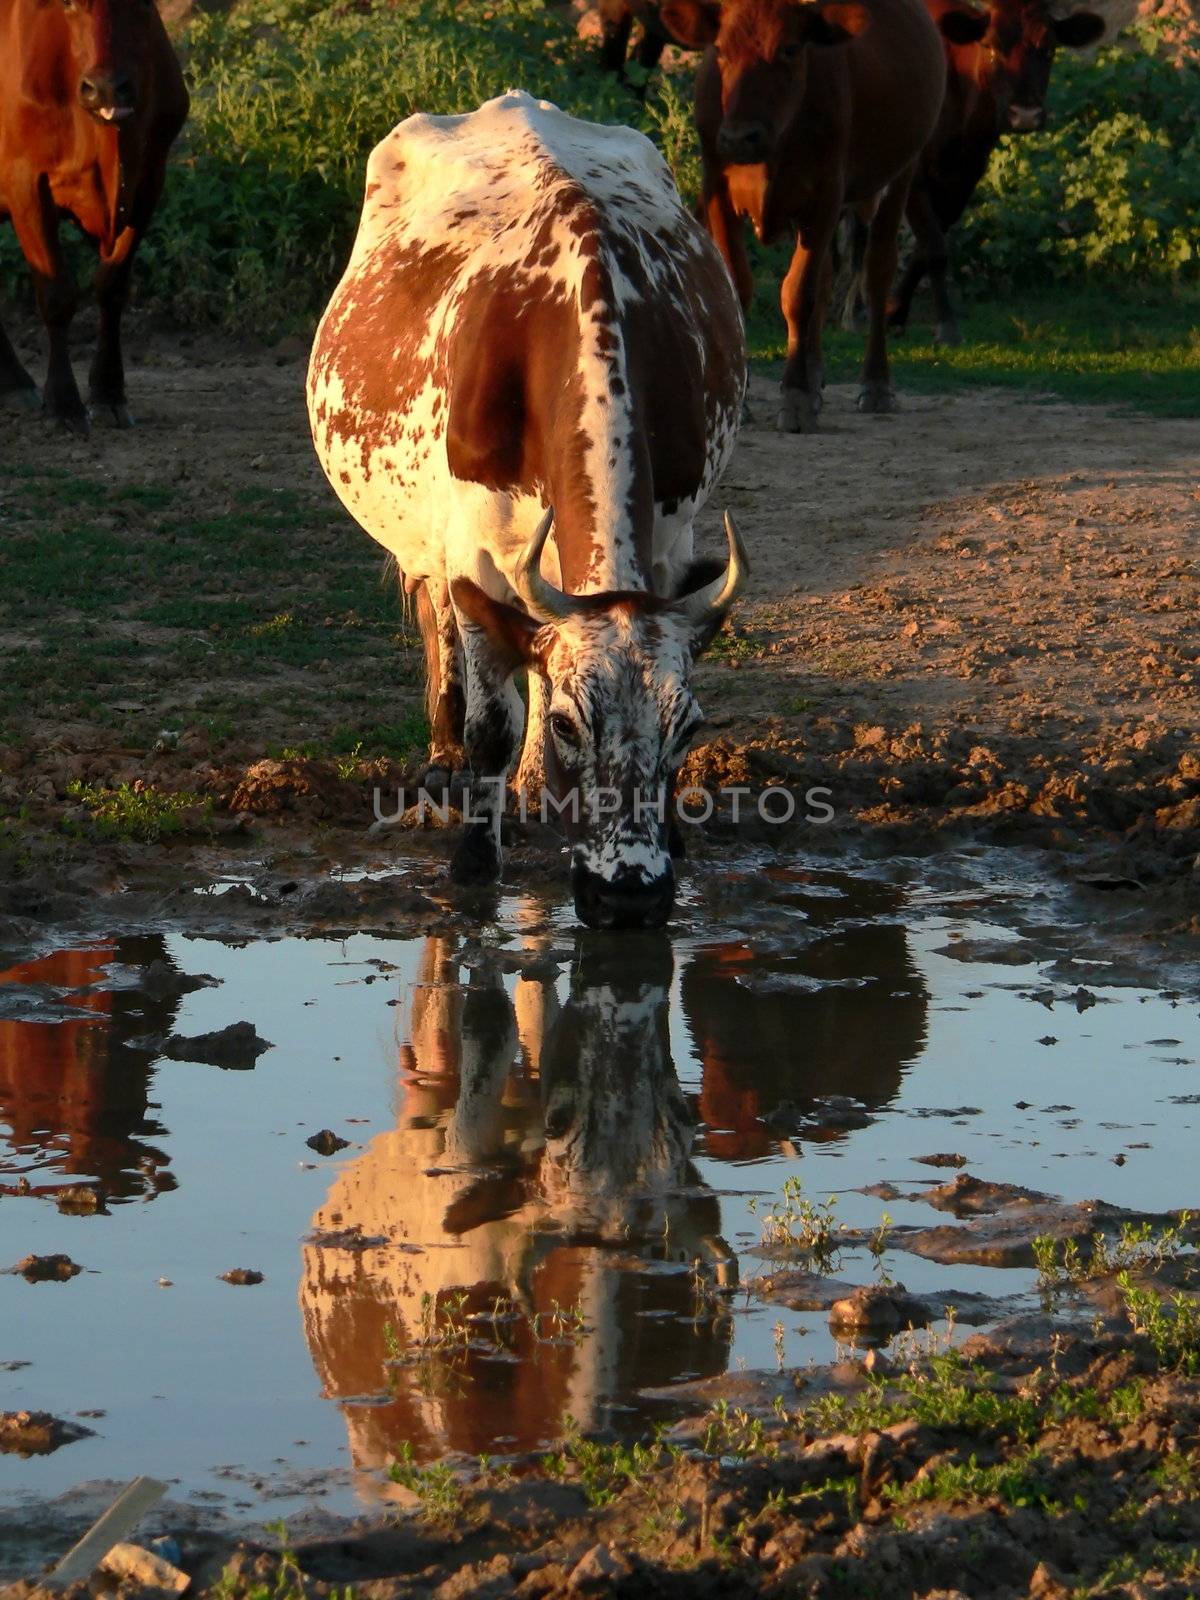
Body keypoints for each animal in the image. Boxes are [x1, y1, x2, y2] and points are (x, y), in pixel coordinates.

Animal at [0, 0, 188, 428]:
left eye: (143, 5)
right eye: (68, 4)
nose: (106, 87)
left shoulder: (149, 180)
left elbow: (112, 285)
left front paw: (108, 391)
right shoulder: (24, 182)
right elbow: (56, 295)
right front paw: (64, 402)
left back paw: (12, 383)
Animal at [305, 90, 748, 928]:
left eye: (690, 727)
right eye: (576, 723)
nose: (629, 894)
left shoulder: (672, 541)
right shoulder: (474, 553)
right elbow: (492, 724)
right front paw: (475, 858)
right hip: (430, 542)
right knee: (445, 631)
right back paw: (445, 756)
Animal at [662, 0, 992, 432]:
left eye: (789, 48)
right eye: (720, 49)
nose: (739, 137)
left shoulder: (825, 195)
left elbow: (798, 294)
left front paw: (796, 397)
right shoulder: (717, 188)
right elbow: (742, 288)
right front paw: (746, 400)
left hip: (900, 174)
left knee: (876, 272)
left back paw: (875, 385)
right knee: (827, 279)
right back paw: (816, 376)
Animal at [889, 0, 1107, 344]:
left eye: (1049, 49)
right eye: (990, 46)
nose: (1026, 115)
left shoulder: (965, 178)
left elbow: (926, 247)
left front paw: (894, 311)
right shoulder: (912, 176)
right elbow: (935, 247)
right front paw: (946, 325)